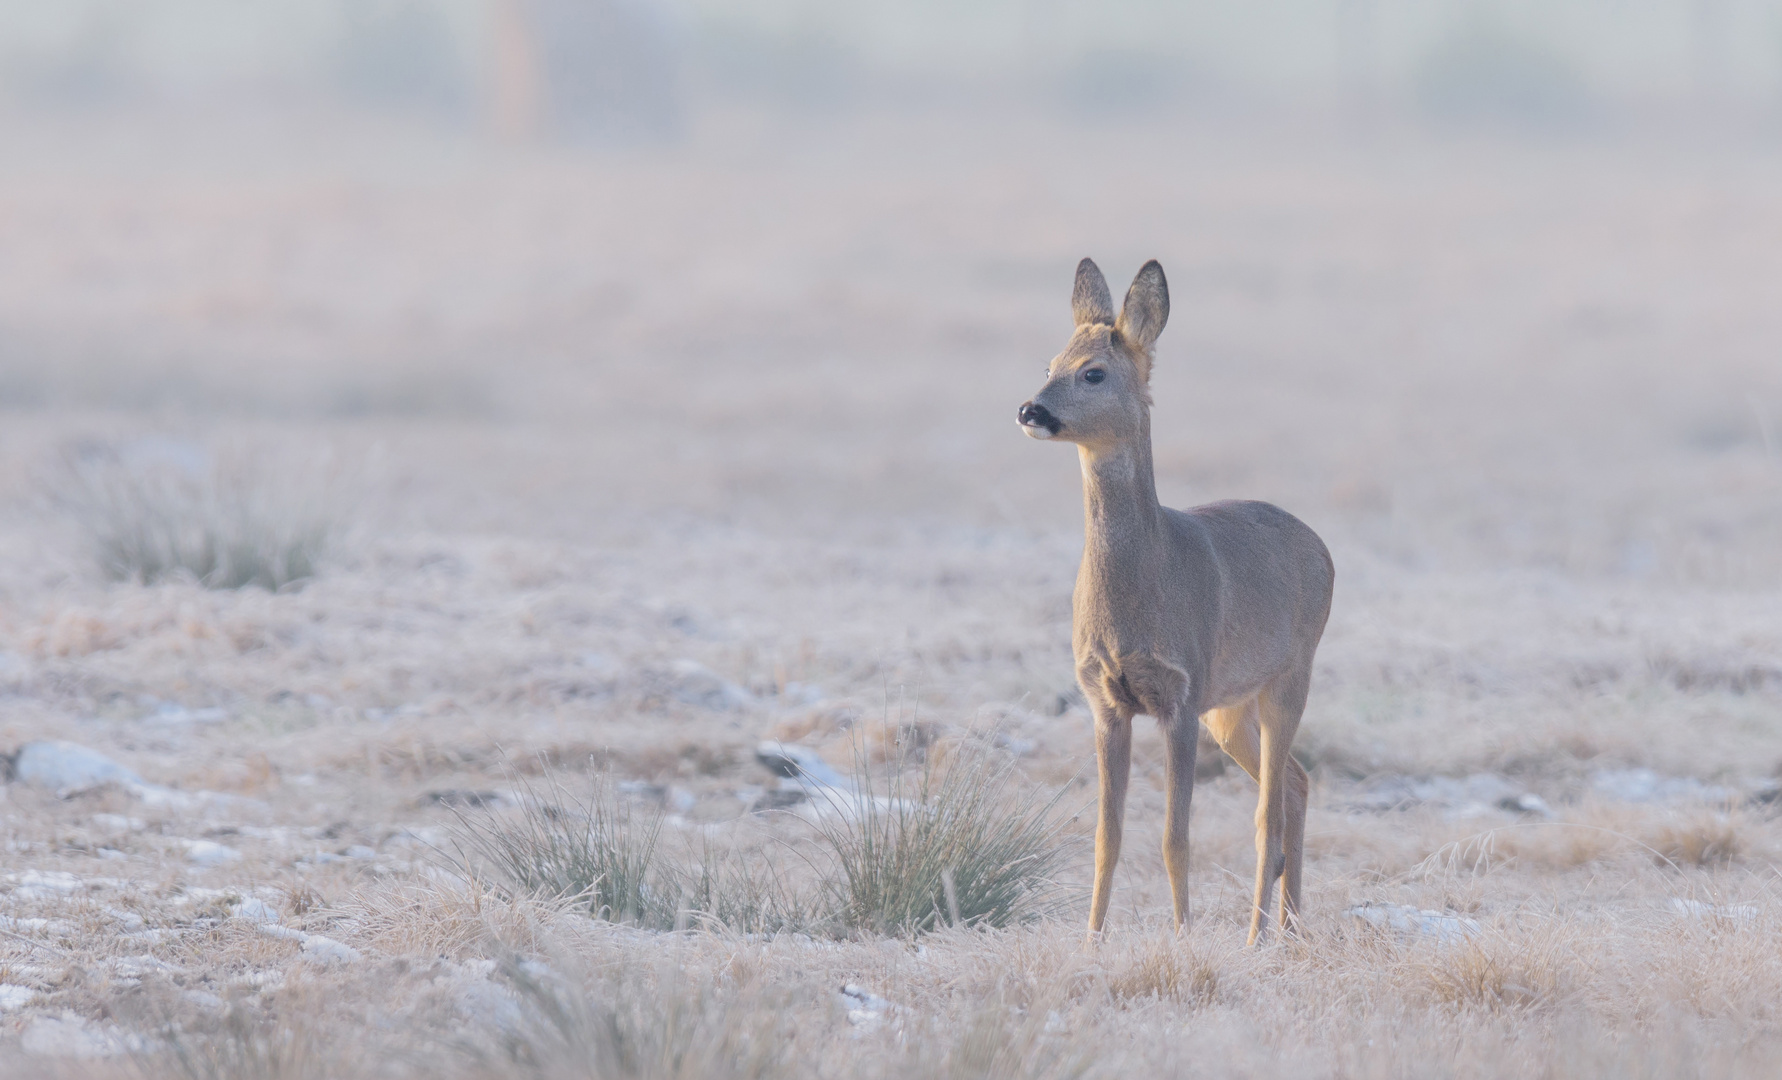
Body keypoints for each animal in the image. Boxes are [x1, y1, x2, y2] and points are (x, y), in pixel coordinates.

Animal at [1026, 258, 1332, 940]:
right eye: (1049, 362)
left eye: (1094, 371)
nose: (1030, 409)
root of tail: (1323, 548)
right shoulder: (1105, 700)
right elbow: (1106, 839)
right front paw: (1091, 942)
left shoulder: (1182, 692)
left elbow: (1175, 837)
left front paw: (1184, 936)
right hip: (1232, 708)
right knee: (1296, 783)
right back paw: (1292, 931)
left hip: (1290, 674)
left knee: (1270, 812)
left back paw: (1258, 937)